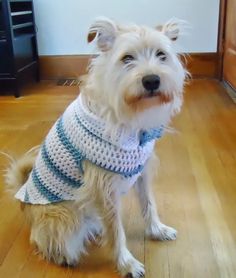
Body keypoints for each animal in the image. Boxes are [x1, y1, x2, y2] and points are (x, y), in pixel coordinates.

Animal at [4, 17, 187, 278]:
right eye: (127, 58)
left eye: (162, 55)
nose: (152, 80)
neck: (125, 115)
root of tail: (23, 197)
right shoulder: (104, 189)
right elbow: (116, 231)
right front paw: (126, 263)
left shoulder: (141, 173)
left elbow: (149, 204)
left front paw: (156, 230)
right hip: (65, 213)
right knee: (40, 238)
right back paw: (63, 255)